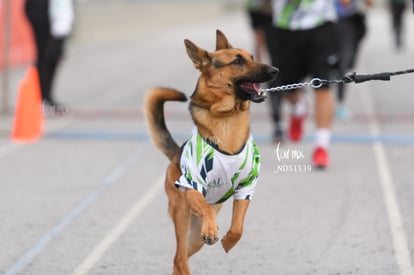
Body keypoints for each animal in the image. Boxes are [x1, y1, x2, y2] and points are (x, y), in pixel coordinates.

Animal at [145, 29, 278, 274]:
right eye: (237, 61)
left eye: (252, 57)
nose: (275, 70)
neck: (228, 119)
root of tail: (175, 155)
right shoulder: (192, 186)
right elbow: (205, 208)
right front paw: (212, 232)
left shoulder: (246, 188)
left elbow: (238, 228)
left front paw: (228, 240)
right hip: (183, 214)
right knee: (180, 258)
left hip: (194, 236)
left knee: (179, 259)